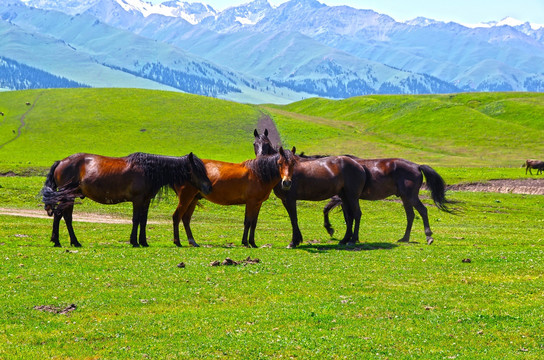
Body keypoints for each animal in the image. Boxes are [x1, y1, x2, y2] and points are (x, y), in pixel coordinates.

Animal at [41, 152, 211, 248]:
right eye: (197, 170)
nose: (209, 187)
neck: (148, 169)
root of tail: (61, 162)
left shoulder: (145, 201)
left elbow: (143, 221)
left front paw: (143, 242)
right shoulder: (137, 200)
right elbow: (136, 220)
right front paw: (134, 242)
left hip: (71, 197)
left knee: (66, 217)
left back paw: (73, 242)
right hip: (66, 196)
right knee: (59, 215)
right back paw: (58, 241)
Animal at [324, 156, 454, 243]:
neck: (335, 168)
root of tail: (417, 166)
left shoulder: (341, 198)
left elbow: (328, 209)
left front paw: (330, 229)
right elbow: (346, 216)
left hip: (411, 196)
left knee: (423, 211)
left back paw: (428, 236)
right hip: (405, 197)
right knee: (410, 215)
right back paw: (405, 238)